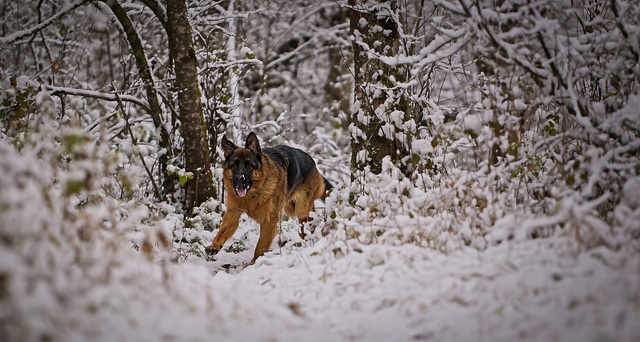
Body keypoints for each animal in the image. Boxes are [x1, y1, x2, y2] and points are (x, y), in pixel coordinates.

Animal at [206, 132, 336, 264]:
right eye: (234, 165)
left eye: (249, 166)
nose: (239, 178)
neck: (252, 194)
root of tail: (313, 163)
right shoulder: (233, 213)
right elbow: (222, 231)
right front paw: (214, 245)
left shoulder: (269, 221)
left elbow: (260, 247)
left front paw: (254, 264)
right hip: (292, 208)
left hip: (301, 210)